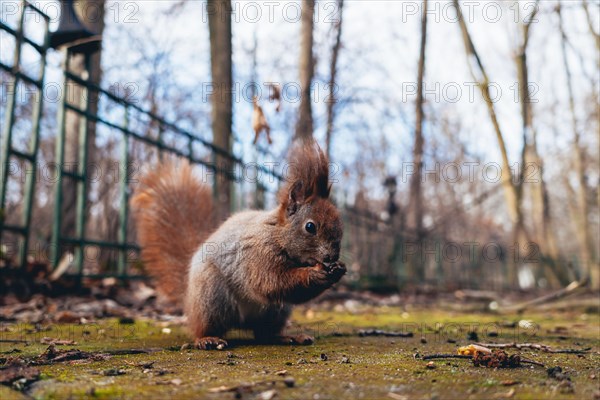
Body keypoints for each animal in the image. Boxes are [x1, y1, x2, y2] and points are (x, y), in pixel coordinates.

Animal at [132, 142, 346, 348]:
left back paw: (287, 337)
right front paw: (316, 273)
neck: (277, 234)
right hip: (211, 297)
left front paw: (339, 269)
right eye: (310, 226)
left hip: (277, 311)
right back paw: (208, 339)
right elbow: (270, 282)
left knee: (264, 334)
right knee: (204, 327)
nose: (332, 256)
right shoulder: (257, 253)